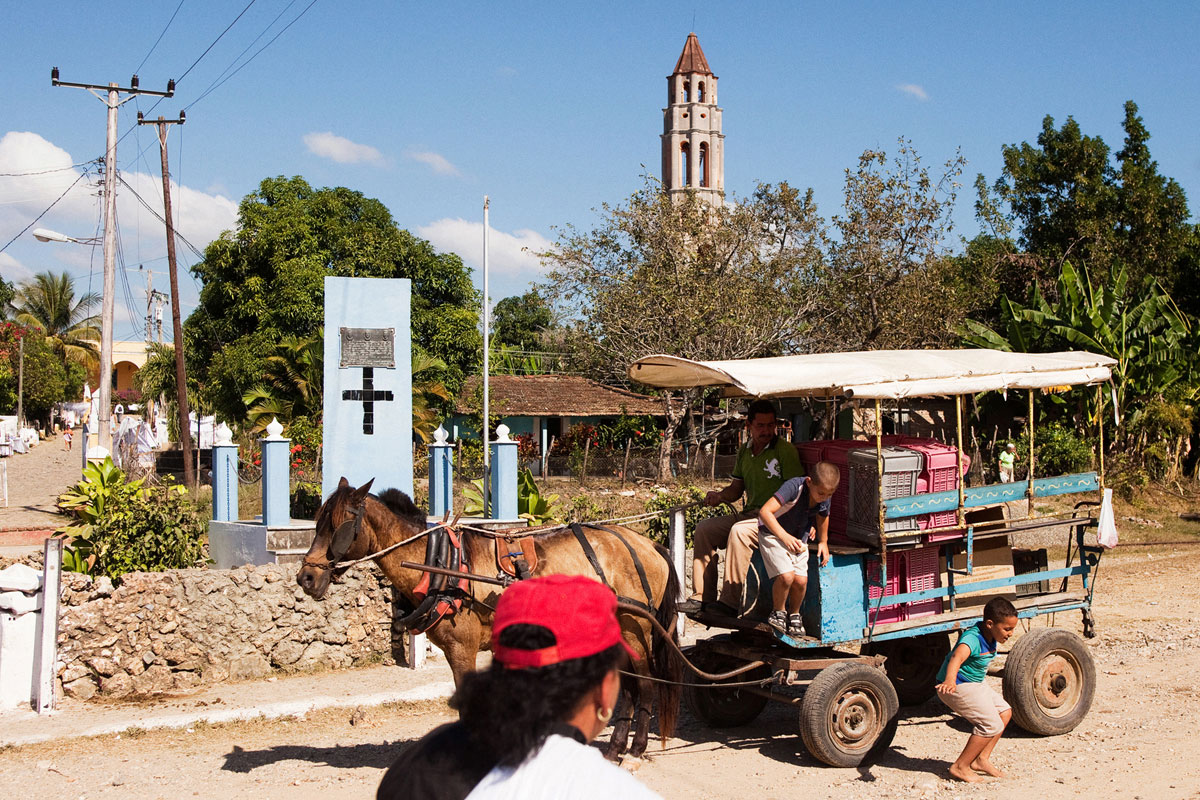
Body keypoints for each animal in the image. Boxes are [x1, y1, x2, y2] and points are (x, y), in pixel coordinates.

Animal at [295, 479, 681, 762]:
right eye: (316, 524)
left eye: (339, 528)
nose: (306, 578)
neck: (440, 563)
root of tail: (647, 544)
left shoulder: (461, 649)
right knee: (628, 688)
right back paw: (616, 747)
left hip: (634, 630)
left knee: (645, 685)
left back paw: (636, 748)